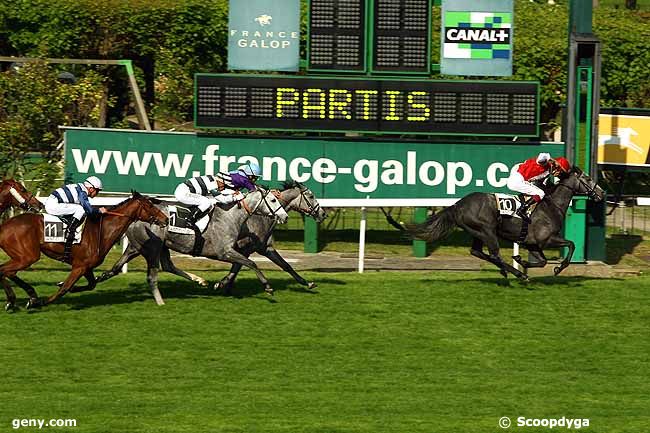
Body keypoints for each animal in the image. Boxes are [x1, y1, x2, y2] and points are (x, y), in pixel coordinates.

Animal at [0, 191, 167, 308]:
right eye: (150, 205)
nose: (166, 219)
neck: (101, 230)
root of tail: (4, 226)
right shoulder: (79, 266)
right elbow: (65, 288)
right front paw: (41, 302)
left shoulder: (87, 267)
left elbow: (91, 284)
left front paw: (69, 287)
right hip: (28, 256)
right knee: (4, 270)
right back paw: (21, 299)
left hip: (23, 257)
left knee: (8, 272)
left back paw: (18, 299)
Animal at [404, 167, 604, 278]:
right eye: (587, 178)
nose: (602, 193)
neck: (551, 205)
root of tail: (457, 205)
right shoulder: (546, 239)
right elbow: (571, 245)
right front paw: (558, 268)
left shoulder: (532, 243)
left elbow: (542, 261)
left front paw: (521, 261)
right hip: (488, 231)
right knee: (494, 254)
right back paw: (516, 274)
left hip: (478, 232)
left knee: (477, 252)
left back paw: (509, 270)